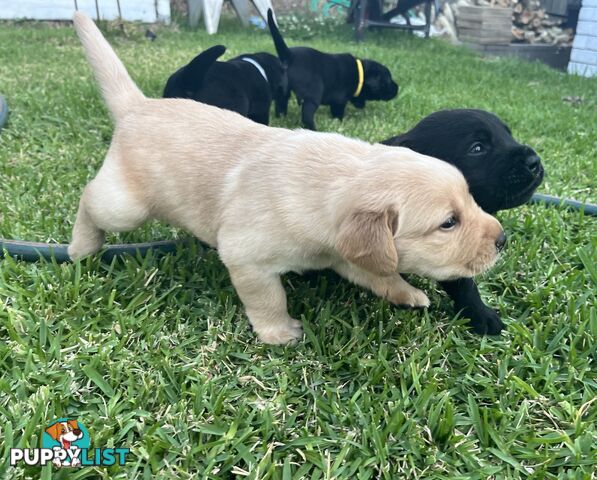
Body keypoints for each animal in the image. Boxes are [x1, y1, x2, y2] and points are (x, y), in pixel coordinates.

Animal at [266, 10, 396, 131]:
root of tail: (289, 55)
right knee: (307, 114)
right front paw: (339, 122)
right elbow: (338, 111)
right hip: (314, 94)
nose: (397, 88)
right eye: (388, 81)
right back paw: (313, 129)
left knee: (281, 103)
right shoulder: (340, 99)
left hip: (283, 89)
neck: (360, 73)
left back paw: (281, 118)